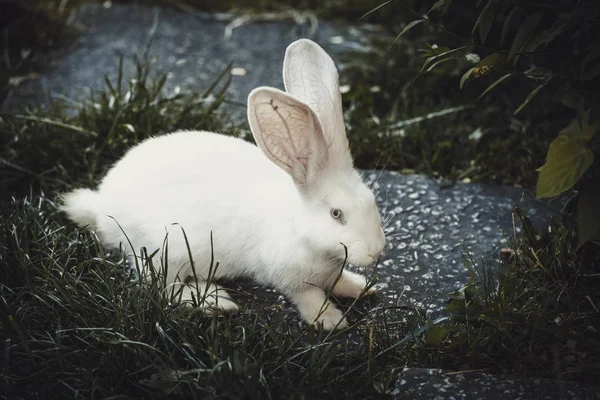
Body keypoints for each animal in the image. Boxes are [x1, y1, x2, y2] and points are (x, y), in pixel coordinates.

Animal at [61, 38, 384, 332]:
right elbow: (309, 297)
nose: (376, 252)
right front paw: (330, 320)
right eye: (336, 214)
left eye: (372, 201)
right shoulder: (289, 277)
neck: (300, 227)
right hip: (165, 250)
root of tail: (103, 209)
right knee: (161, 285)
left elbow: (338, 281)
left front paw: (362, 287)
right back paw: (215, 301)